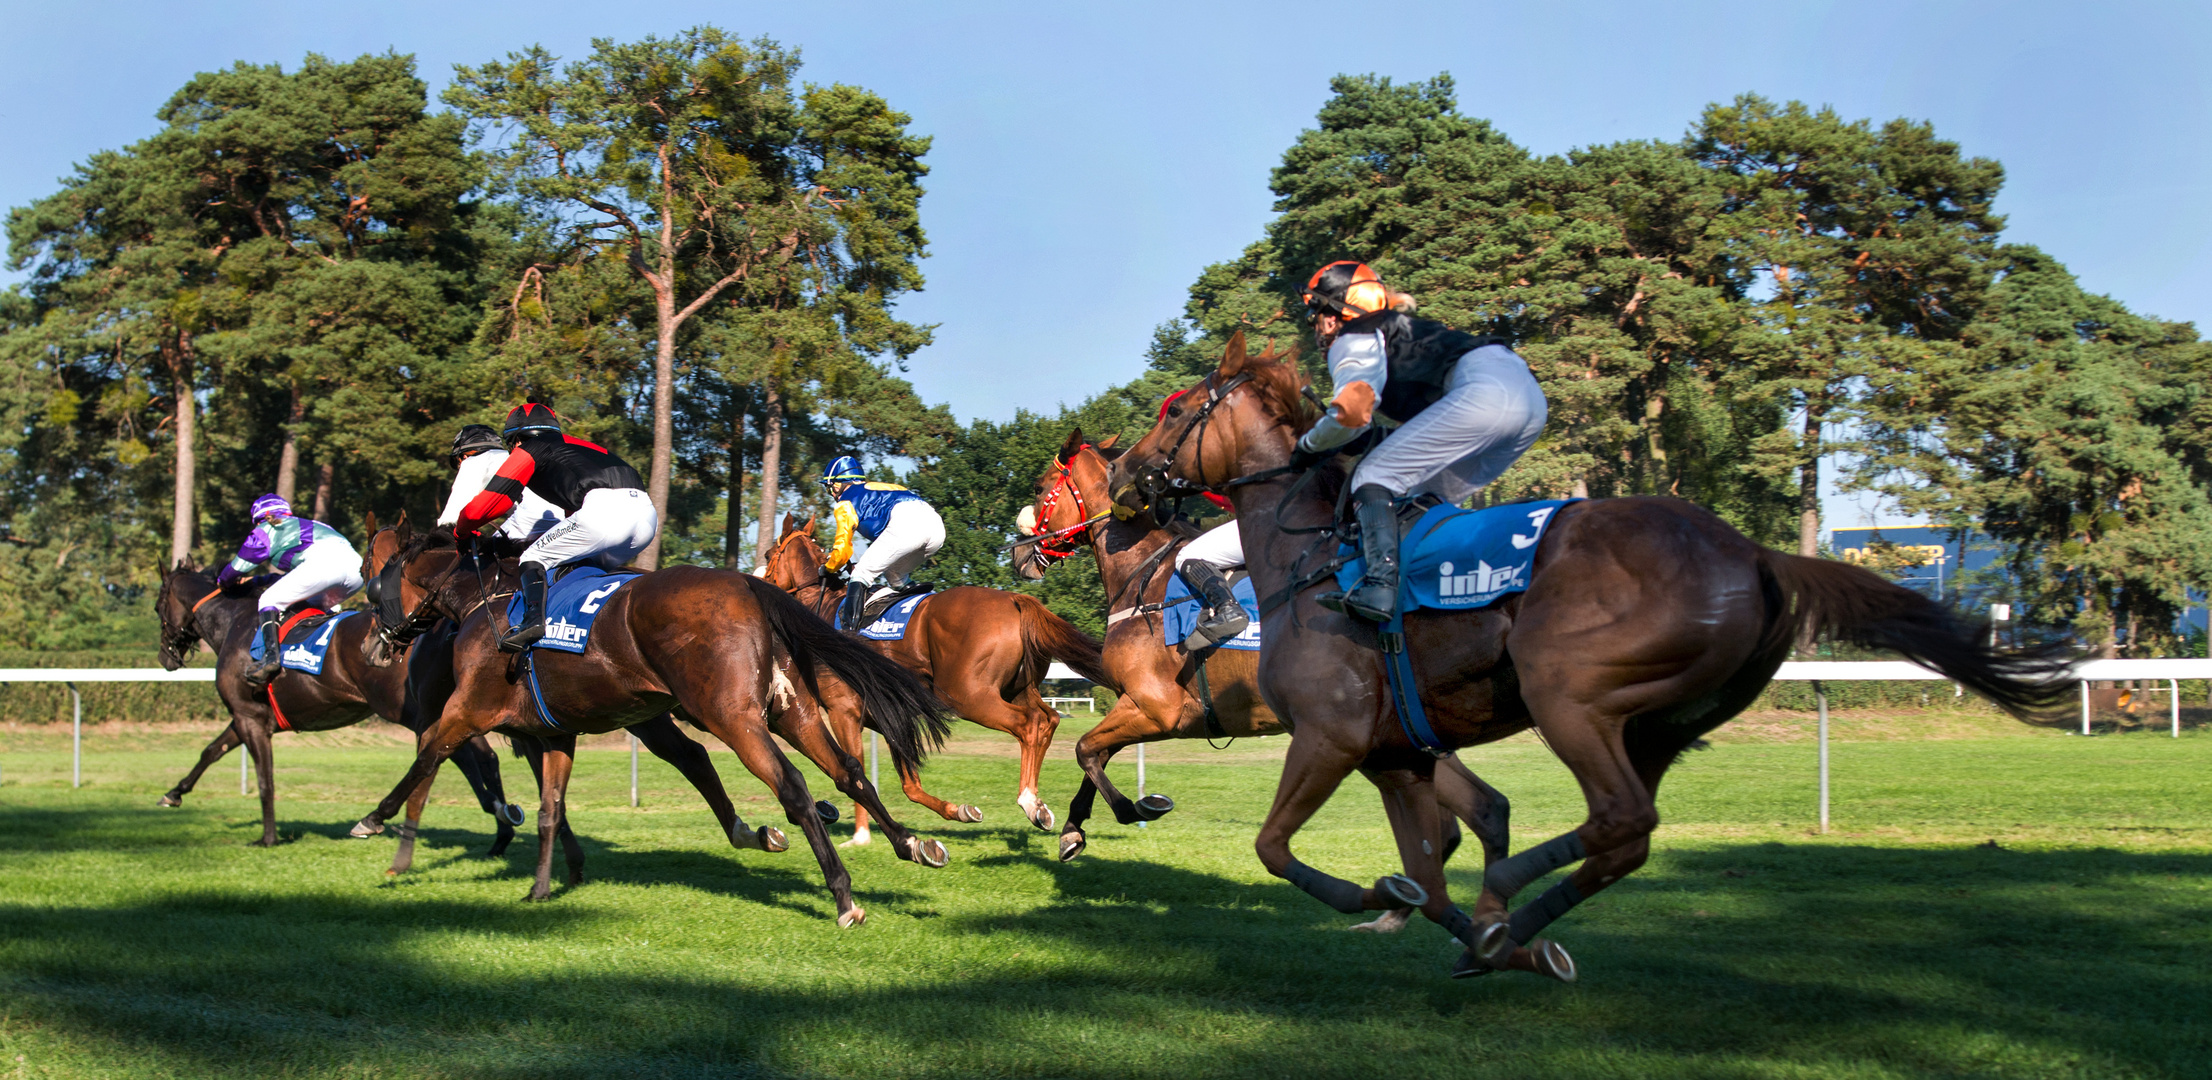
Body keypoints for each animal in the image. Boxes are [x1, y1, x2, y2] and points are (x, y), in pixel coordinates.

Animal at [151, 562, 522, 854]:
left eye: (157, 607)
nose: (165, 658)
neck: (236, 623)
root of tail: (448, 624)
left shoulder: (249, 717)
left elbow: (264, 779)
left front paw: (268, 838)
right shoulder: (248, 717)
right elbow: (211, 751)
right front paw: (173, 794)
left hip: (412, 711)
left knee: (453, 755)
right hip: (453, 707)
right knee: (480, 756)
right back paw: (501, 823)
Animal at [353, 526, 951, 925]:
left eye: (371, 580)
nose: (370, 646)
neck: (490, 599)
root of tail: (748, 588)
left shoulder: (467, 710)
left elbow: (425, 756)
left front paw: (372, 819)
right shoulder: (556, 733)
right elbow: (550, 810)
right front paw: (541, 889)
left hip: (731, 717)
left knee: (793, 787)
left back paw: (843, 895)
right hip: (789, 712)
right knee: (849, 772)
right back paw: (910, 843)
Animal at [760, 515, 1114, 845]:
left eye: (768, 553)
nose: (760, 581)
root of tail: (1016, 600)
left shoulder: (843, 710)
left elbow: (856, 770)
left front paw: (860, 836)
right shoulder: (887, 717)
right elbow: (909, 785)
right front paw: (959, 811)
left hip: (968, 696)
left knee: (1029, 724)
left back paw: (1029, 801)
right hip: (1017, 689)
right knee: (1049, 718)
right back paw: (1038, 804)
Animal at [1017, 429, 1521, 938]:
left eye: (1040, 489)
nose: (1019, 553)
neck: (1145, 578)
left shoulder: (1158, 710)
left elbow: (1086, 750)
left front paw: (1136, 808)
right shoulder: (1139, 706)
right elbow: (1094, 756)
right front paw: (1073, 830)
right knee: (1480, 811)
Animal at [1123, 334, 2070, 982]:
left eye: (1176, 408)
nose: (1132, 473)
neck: (1307, 560)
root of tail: (1755, 554)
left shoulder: (1331, 737)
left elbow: (1276, 849)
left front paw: (1384, 900)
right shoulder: (1397, 756)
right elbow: (1427, 878)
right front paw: (1464, 932)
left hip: (1570, 696)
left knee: (1618, 818)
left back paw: (1509, 900)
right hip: (1661, 720)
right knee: (1629, 836)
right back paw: (1510, 929)